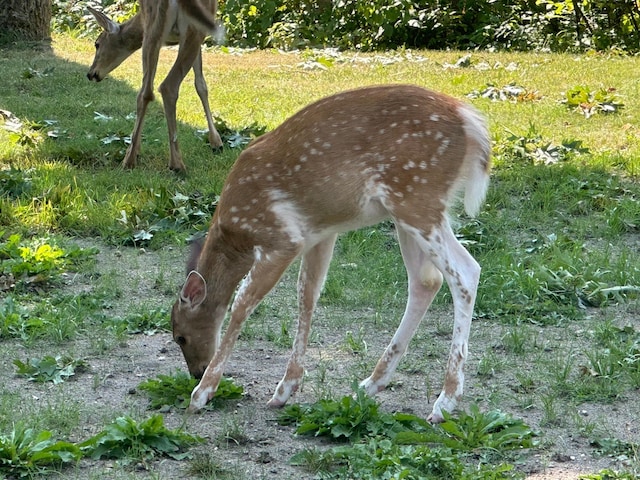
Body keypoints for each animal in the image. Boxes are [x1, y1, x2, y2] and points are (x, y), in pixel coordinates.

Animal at [87, 0, 222, 172]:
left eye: (97, 44)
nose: (91, 74)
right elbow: (201, 84)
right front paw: (216, 142)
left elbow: (200, 84)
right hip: (192, 29)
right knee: (168, 85)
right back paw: (177, 163)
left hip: (154, 33)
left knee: (145, 92)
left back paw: (129, 159)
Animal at [169, 84, 490, 422]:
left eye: (180, 336)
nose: (195, 371)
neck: (236, 235)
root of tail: (473, 124)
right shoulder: (320, 234)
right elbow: (307, 294)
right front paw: (285, 388)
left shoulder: (283, 237)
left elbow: (242, 303)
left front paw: (202, 392)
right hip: (409, 209)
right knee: (426, 281)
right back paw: (372, 383)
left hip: (417, 196)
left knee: (465, 272)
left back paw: (445, 401)